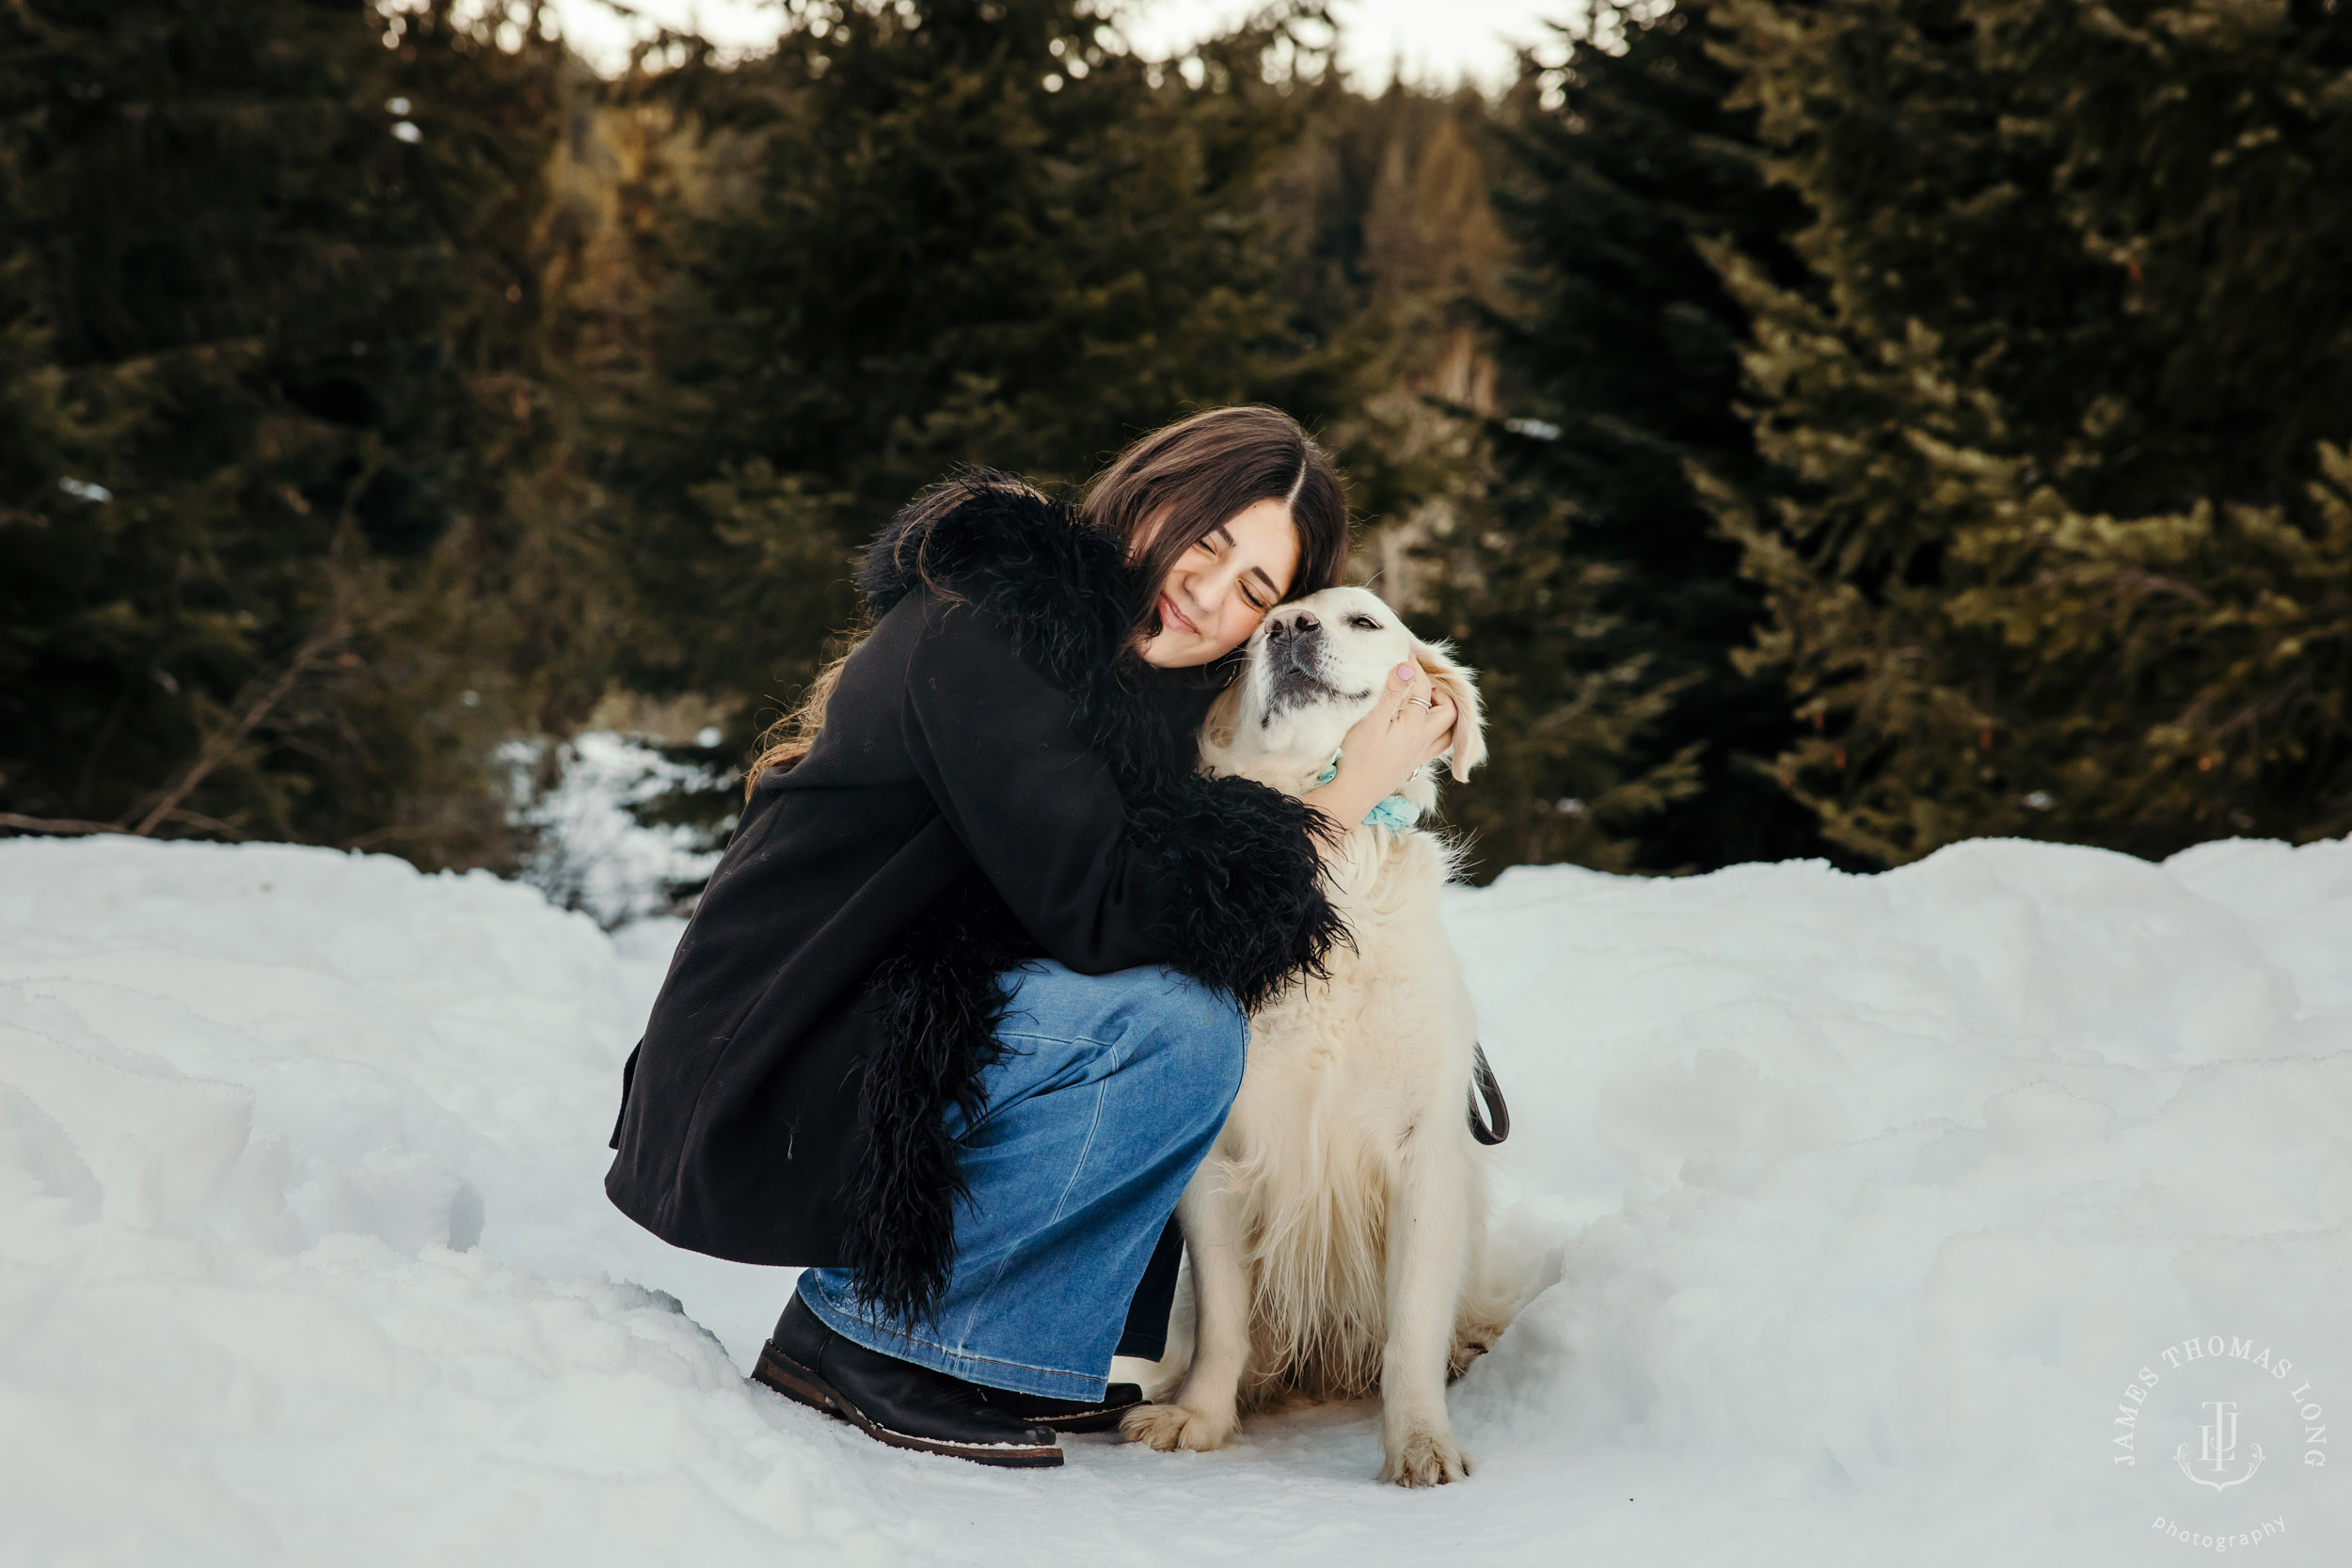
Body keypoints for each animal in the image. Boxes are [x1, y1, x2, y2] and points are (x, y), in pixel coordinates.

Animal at [1124, 585, 1524, 1485]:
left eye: (1364, 620)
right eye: (1246, 649)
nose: (1289, 628)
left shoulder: (1425, 1153)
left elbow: (1412, 1328)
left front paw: (1419, 1440)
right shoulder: (1218, 1159)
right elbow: (1224, 1319)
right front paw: (1199, 1416)